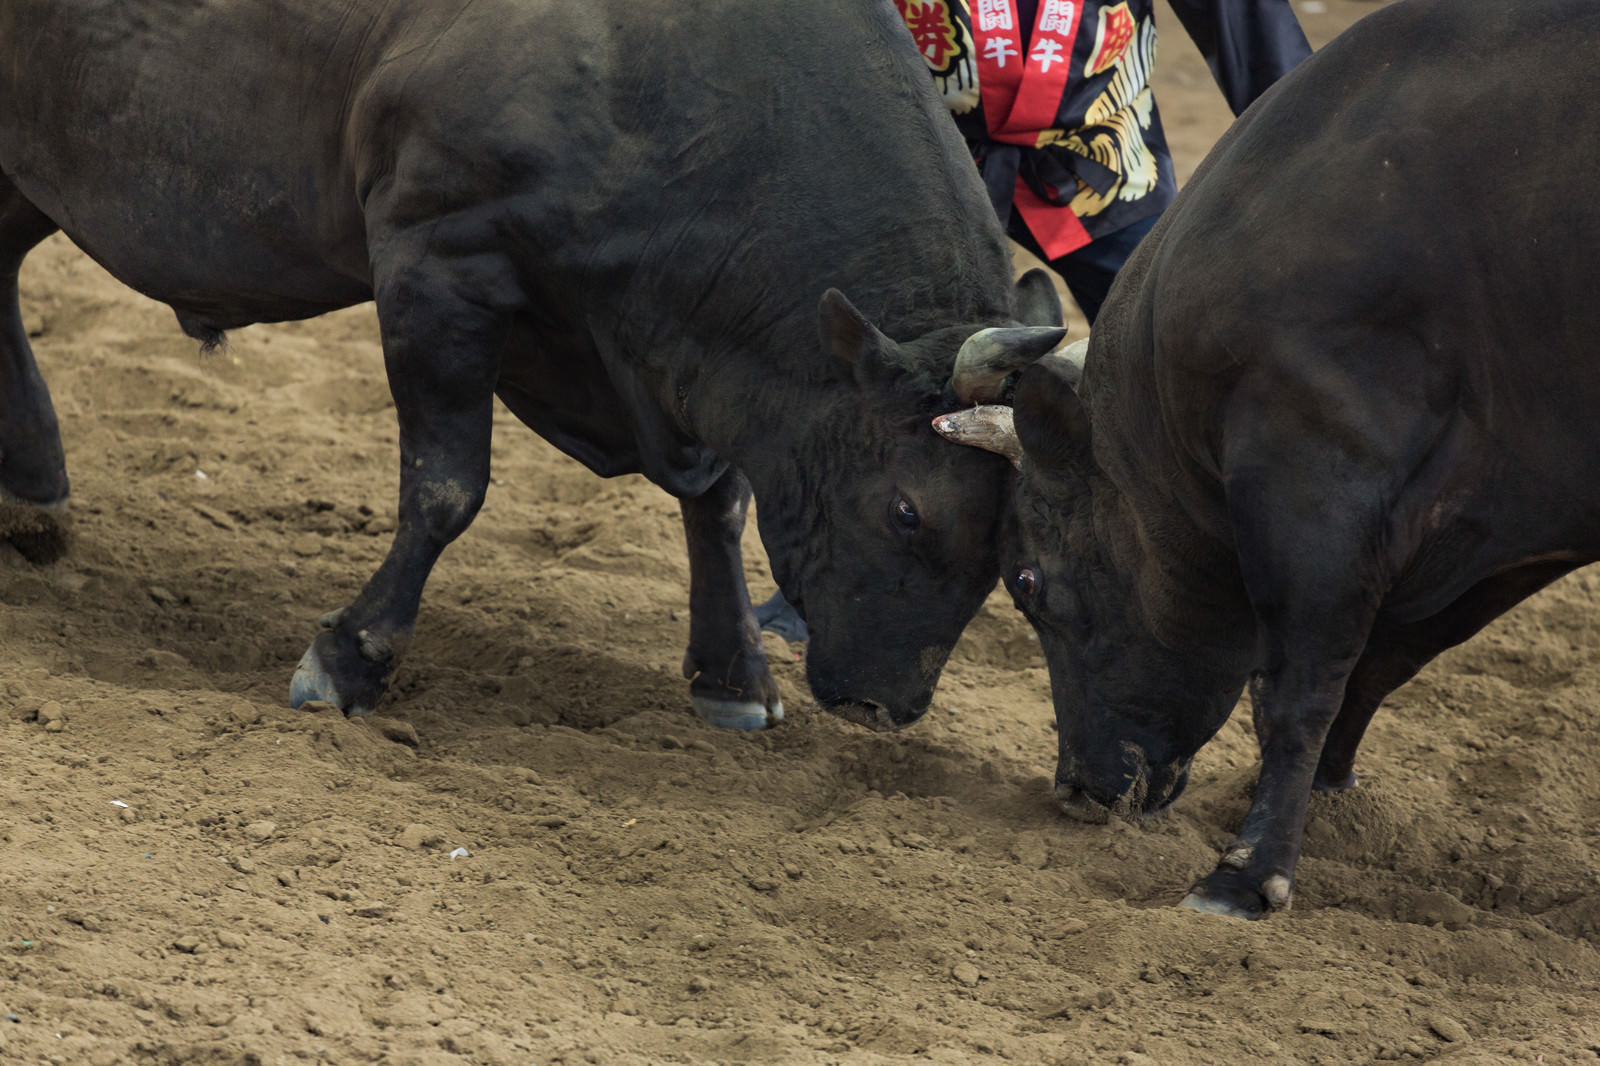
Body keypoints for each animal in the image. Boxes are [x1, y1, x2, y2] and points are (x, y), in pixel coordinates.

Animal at [934, 0, 1600, 915]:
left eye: (1026, 581)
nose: (1076, 789)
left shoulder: (1313, 480)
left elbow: (1299, 688)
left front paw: (1248, 874)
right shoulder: (1509, 523)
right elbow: (1382, 660)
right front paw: (1324, 798)